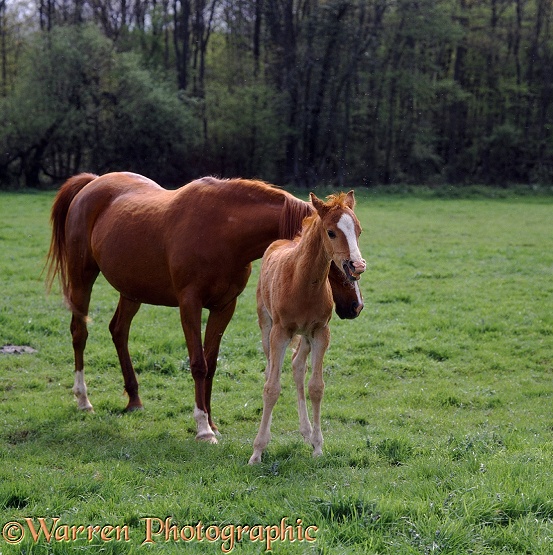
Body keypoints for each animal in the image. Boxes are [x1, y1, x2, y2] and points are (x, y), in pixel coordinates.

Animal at [249, 191, 362, 464]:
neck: (302, 281)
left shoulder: (321, 332)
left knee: (297, 366)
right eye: (331, 232)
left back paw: (306, 431)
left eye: (358, 230)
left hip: (305, 336)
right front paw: (257, 451)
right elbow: (271, 388)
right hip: (266, 325)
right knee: (271, 370)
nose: (357, 265)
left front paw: (318, 446)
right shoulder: (280, 332)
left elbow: (316, 387)